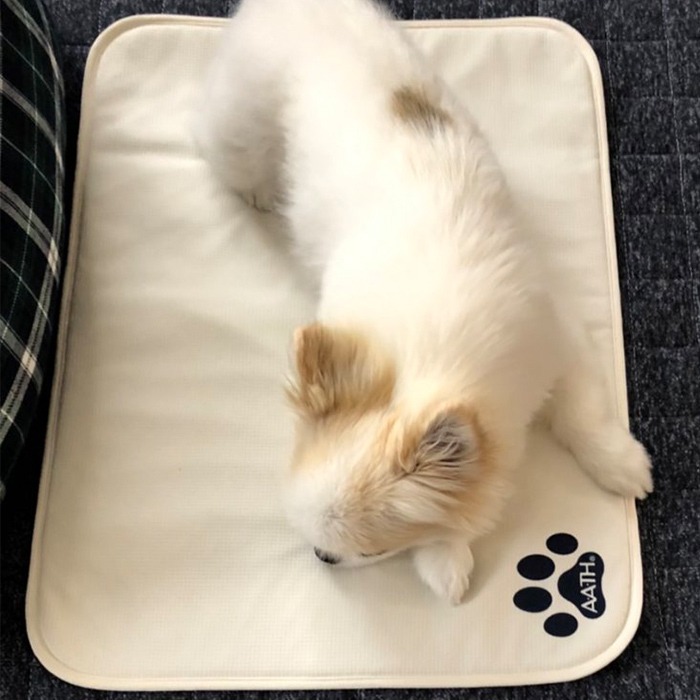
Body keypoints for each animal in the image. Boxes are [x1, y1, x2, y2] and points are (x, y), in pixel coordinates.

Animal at [195, 0, 653, 604]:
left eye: (368, 552)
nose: (322, 557)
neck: (431, 364)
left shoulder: (555, 338)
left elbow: (584, 413)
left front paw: (621, 465)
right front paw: (447, 563)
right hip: (241, 126)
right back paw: (258, 190)